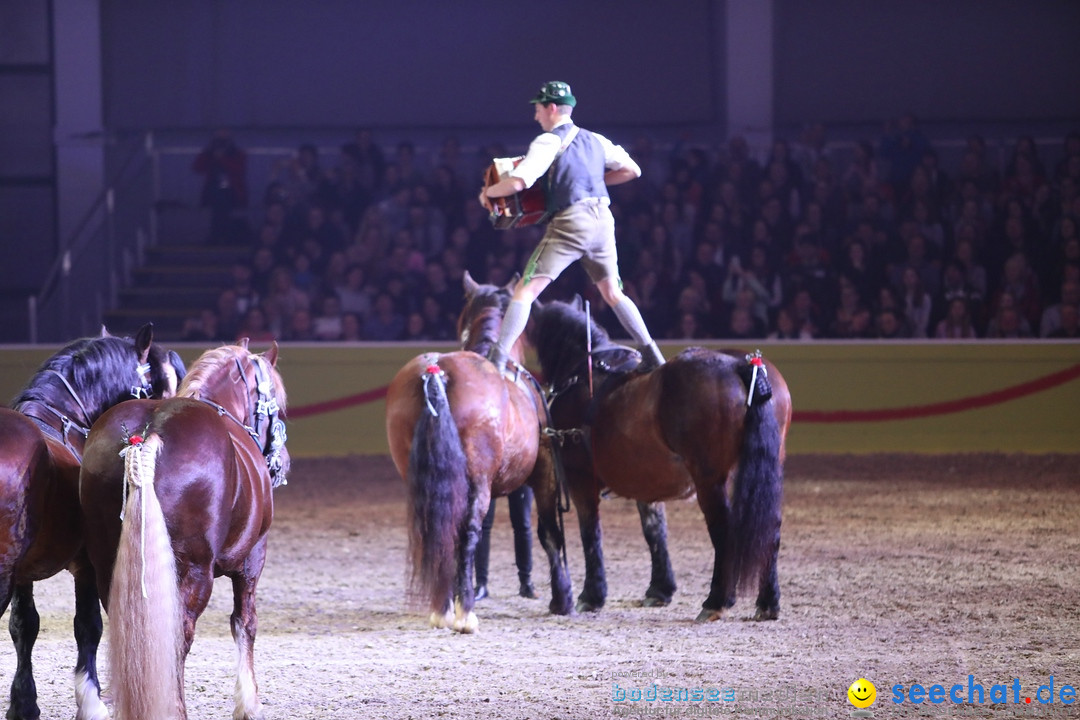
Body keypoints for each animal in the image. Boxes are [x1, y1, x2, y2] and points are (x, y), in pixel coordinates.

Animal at [0, 325, 184, 720]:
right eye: (161, 388)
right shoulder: (85, 563)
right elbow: (88, 625)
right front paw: (91, 701)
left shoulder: (22, 572)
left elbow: (24, 626)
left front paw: (24, 704)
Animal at [78, 343, 289, 720]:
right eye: (276, 403)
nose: (283, 463)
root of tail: (145, 437)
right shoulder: (252, 559)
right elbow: (244, 622)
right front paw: (248, 702)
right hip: (195, 569)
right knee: (179, 634)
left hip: (107, 563)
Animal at [386, 273, 574, 634]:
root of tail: (437, 372)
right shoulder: (543, 472)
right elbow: (549, 533)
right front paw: (563, 598)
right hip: (479, 483)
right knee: (466, 532)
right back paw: (463, 613)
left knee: (441, 532)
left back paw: (444, 607)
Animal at [531, 302, 794, 621]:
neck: (583, 374)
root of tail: (744, 365)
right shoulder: (646, 481)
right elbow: (655, 531)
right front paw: (660, 588)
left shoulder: (581, 479)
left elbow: (590, 534)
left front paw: (592, 595)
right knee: (770, 531)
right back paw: (767, 602)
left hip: (710, 480)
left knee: (724, 531)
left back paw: (716, 600)